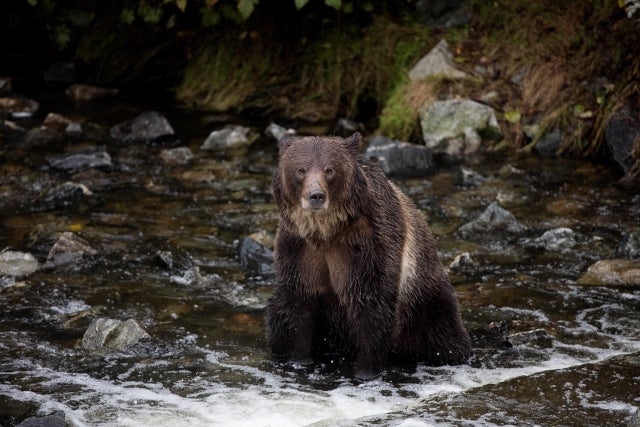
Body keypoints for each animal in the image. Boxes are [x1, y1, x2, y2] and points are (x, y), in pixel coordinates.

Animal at [264, 133, 470, 378]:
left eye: (329, 169)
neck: (326, 233)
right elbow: (297, 303)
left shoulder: (368, 244)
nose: (316, 196)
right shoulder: (298, 247)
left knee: (444, 335)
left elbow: (370, 304)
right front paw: (298, 360)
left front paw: (365, 371)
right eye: (301, 169)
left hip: (425, 300)